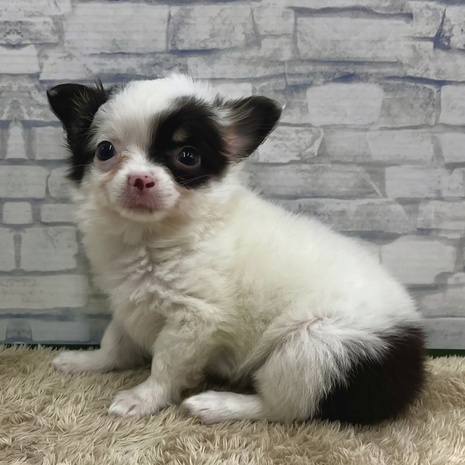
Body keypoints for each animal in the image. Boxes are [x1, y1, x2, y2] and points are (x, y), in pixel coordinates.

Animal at [47, 74, 425, 424]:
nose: (141, 178)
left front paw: (142, 398)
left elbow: (165, 365)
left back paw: (218, 405)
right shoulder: (129, 301)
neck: (152, 237)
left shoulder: (193, 320)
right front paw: (87, 361)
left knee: (282, 409)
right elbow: (114, 340)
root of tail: (414, 359)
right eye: (105, 151)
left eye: (187, 156)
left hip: (315, 348)